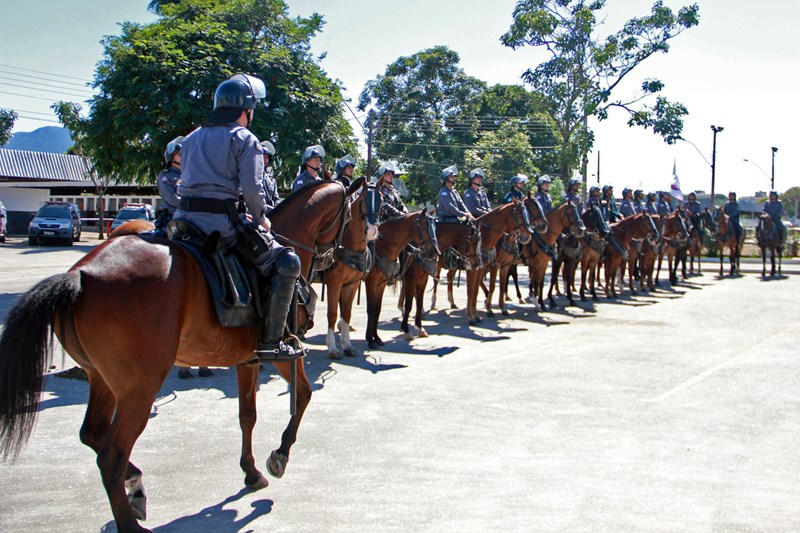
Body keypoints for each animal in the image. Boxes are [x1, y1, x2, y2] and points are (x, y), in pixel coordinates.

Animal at [0, 180, 354, 532]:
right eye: (351, 215)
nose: (341, 258)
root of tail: (81, 275)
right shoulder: (280, 354)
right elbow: (304, 395)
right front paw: (279, 456)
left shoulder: (247, 361)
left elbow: (247, 416)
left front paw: (251, 472)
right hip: (139, 389)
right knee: (111, 456)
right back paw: (130, 514)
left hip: (100, 379)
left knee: (92, 433)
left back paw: (135, 487)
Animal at [320, 181, 380, 360]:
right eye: (363, 199)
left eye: (381, 199)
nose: (372, 230)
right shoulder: (334, 283)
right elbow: (332, 313)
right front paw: (332, 347)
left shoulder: (351, 284)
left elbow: (346, 313)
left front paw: (347, 345)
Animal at [364, 208, 438, 350]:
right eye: (424, 226)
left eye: (435, 227)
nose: (434, 253)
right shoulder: (374, 282)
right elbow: (407, 304)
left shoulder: (421, 279)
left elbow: (378, 309)